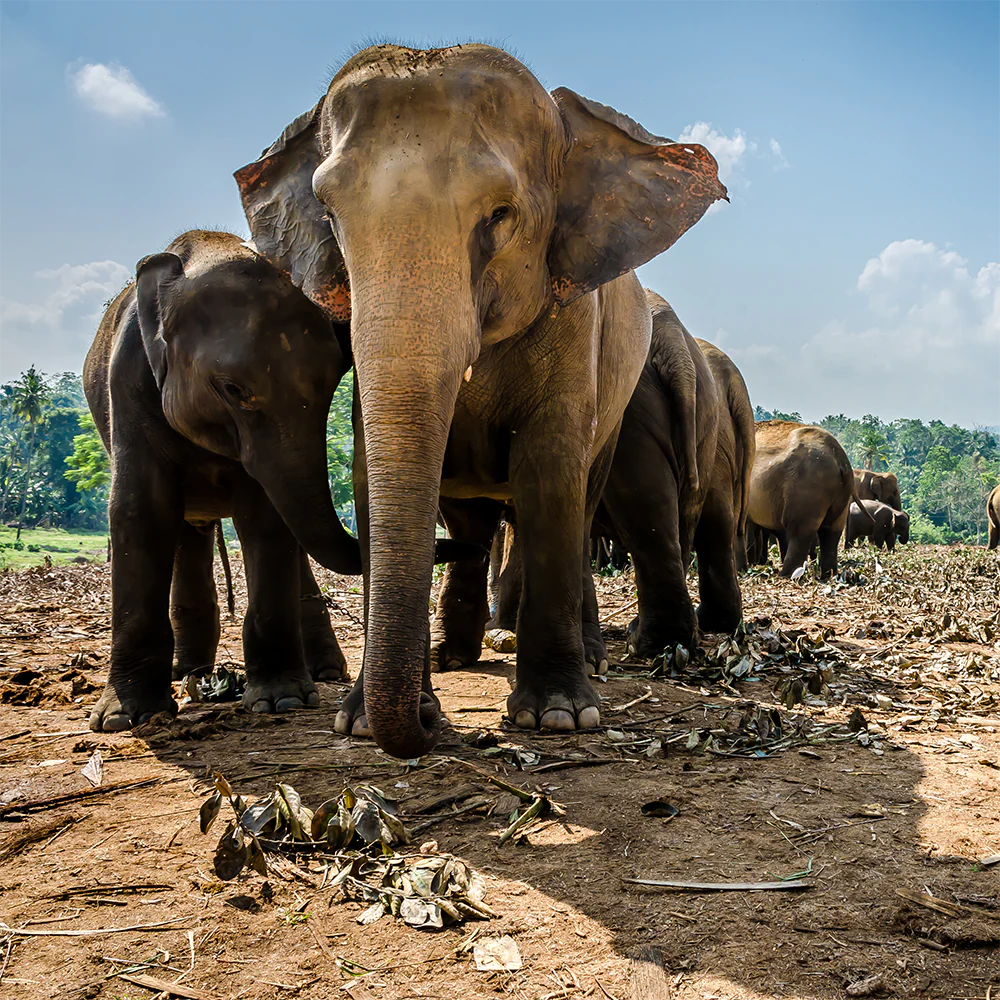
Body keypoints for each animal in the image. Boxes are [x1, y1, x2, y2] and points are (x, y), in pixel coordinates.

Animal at [234, 43, 725, 757]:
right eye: (329, 215)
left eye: (499, 215)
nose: (427, 733)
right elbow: (373, 476)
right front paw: (361, 722)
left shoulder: (573, 317)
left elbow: (550, 470)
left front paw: (558, 717)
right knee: (472, 520)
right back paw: (453, 655)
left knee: (580, 499)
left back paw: (587, 657)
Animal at [748, 421, 874, 578]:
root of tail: (840, 456)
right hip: (840, 493)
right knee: (831, 531)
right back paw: (827, 575)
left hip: (805, 489)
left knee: (800, 531)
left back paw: (786, 575)